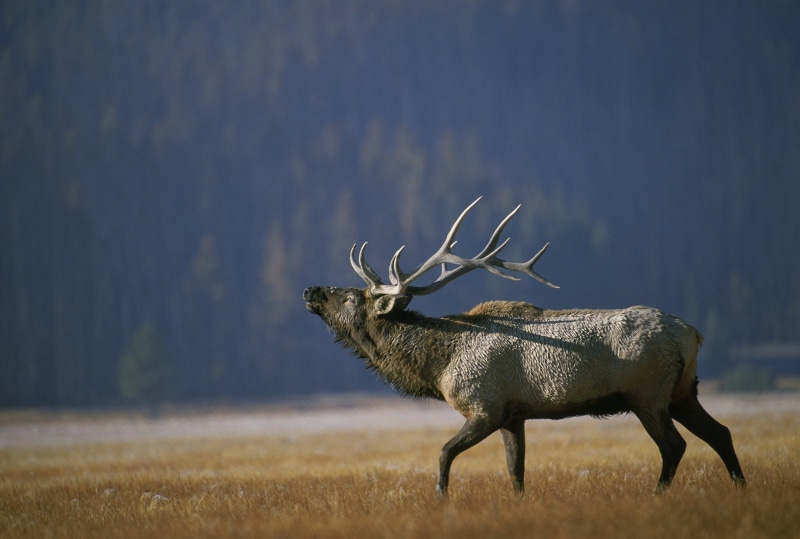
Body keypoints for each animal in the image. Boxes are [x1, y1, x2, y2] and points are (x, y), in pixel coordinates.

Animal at [303, 197, 746, 497]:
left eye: (351, 297)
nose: (310, 290)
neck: (438, 365)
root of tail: (692, 333)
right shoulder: (513, 416)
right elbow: (516, 473)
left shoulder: (485, 406)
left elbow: (444, 454)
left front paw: (441, 498)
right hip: (683, 391)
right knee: (720, 432)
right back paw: (741, 488)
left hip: (648, 393)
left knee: (674, 445)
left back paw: (657, 495)